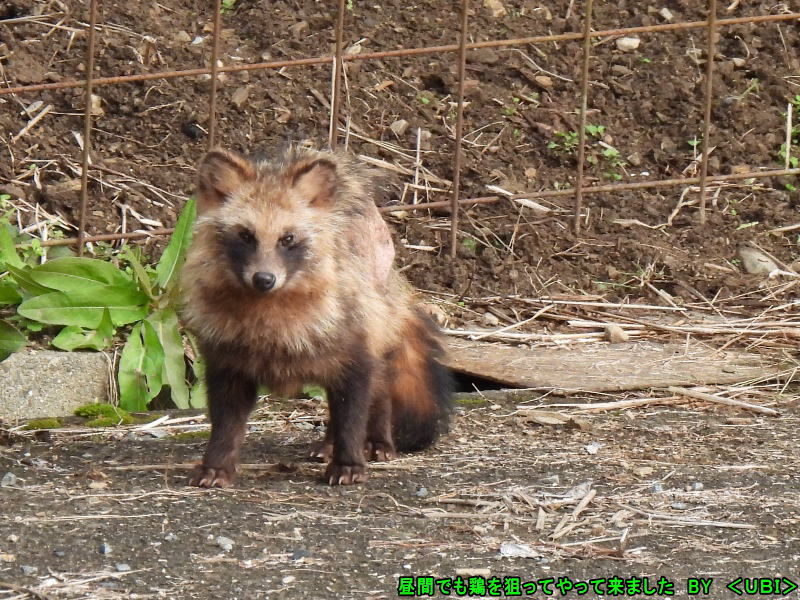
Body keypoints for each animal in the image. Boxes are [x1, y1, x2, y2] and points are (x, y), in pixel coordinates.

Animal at [184, 146, 454, 488]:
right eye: (245, 236)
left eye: (287, 238)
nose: (264, 279)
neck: (271, 323)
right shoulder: (226, 362)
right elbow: (225, 425)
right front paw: (216, 465)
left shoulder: (356, 356)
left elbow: (353, 418)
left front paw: (349, 461)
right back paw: (328, 444)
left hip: (374, 331)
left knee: (378, 393)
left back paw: (376, 440)